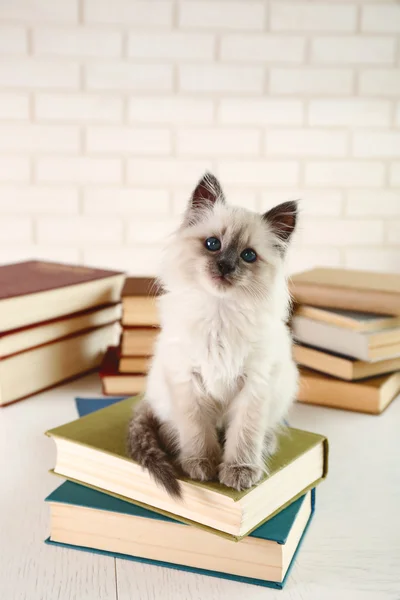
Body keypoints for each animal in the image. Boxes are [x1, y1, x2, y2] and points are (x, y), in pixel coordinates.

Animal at [126, 172, 298, 496]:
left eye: (248, 255)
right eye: (212, 243)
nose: (225, 266)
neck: (220, 313)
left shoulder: (254, 385)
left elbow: (244, 434)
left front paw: (239, 470)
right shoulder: (187, 380)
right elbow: (197, 431)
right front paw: (200, 464)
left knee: (263, 429)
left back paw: (265, 446)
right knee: (169, 424)